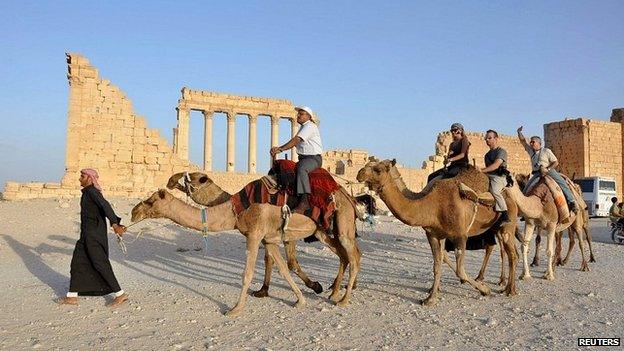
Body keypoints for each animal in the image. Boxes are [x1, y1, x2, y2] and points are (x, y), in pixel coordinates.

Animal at [130, 191, 358, 318]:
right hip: (321, 230)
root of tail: (348, 197)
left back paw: (343, 300)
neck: (234, 211)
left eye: (151, 201)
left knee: (353, 255)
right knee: (343, 255)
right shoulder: (268, 239)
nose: (133, 212)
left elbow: (247, 274)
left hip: (342, 221)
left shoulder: (254, 235)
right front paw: (300, 300)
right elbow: (283, 268)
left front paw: (235, 309)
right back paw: (333, 292)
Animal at [358, 159, 520, 306]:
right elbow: (437, 265)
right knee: (502, 250)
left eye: (378, 170)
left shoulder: (460, 235)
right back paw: (502, 284)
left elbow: (460, 270)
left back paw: (510, 290)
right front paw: (431, 297)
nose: (360, 173)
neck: (431, 204)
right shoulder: (434, 235)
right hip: (494, 228)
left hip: (507, 226)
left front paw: (485, 290)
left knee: (511, 254)